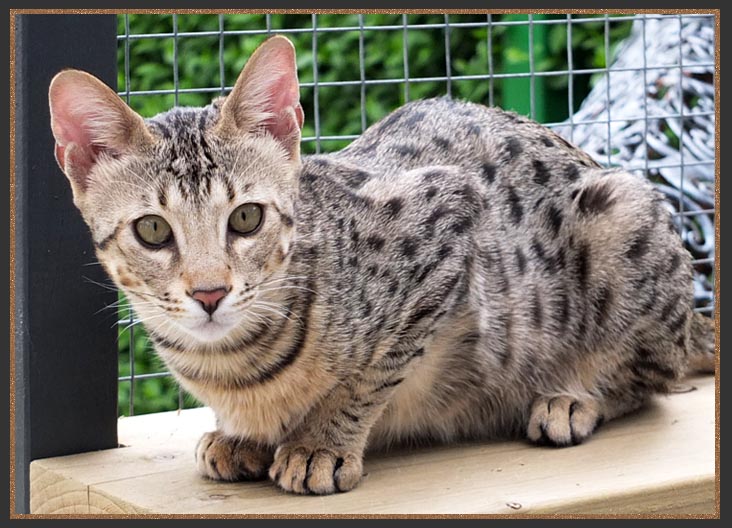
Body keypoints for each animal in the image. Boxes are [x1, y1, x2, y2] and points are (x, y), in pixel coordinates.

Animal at [47, 35, 716, 492]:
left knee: (655, 374)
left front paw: (320, 443)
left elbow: (374, 369)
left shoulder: (447, 221)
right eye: (153, 230)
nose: (210, 293)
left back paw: (570, 398)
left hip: (623, 214)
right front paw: (242, 438)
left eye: (246, 218)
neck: (232, 367)